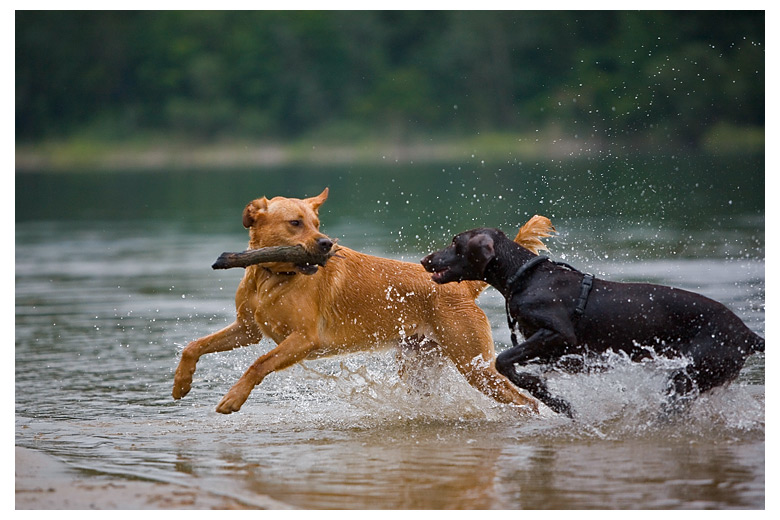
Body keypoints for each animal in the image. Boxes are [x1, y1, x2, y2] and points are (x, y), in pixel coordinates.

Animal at [174, 188, 556, 414]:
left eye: (317, 222)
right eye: (295, 223)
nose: (326, 243)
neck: (272, 276)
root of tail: (462, 288)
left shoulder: (303, 339)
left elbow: (258, 364)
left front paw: (232, 398)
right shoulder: (247, 330)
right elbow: (194, 346)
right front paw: (181, 383)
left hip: (475, 366)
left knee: (526, 401)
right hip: (421, 365)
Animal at [424, 228, 764, 418]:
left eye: (455, 242)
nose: (426, 259)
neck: (527, 277)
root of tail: (747, 334)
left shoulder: (560, 335)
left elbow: (504, 360)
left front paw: (552, 397)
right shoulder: (559, 350)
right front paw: (546, 391)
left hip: (690, 375)